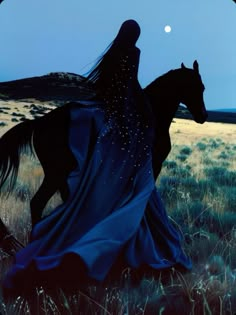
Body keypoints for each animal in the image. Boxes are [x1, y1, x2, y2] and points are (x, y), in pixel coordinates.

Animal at [0, 61, 206, 235]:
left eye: (202, 87)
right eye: (194, 87)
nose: (202, 116)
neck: (151, 115)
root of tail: (40, 122)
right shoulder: (154, 165)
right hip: (56, 172)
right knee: (38, 203)